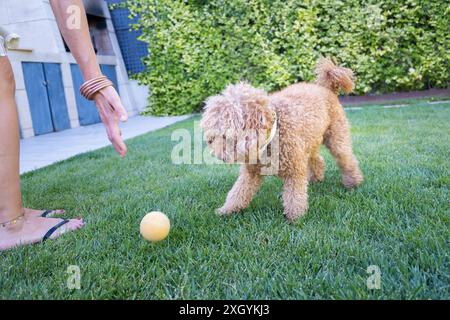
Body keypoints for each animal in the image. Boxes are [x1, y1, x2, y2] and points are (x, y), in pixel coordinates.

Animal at [202, 57, 364, 221]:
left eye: (225, 134)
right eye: (211, 136)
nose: (214, 153)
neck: (272, 134)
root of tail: (326, 88)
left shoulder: (294, 170)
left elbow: (294, 196)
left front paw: (295, 217)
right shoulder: (251, 172)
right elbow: (238, 192)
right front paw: (227, 210)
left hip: (336, 138)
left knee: (346, 159)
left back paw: (353, 182)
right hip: (309, 142)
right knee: (317, 159)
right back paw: (315, 178)